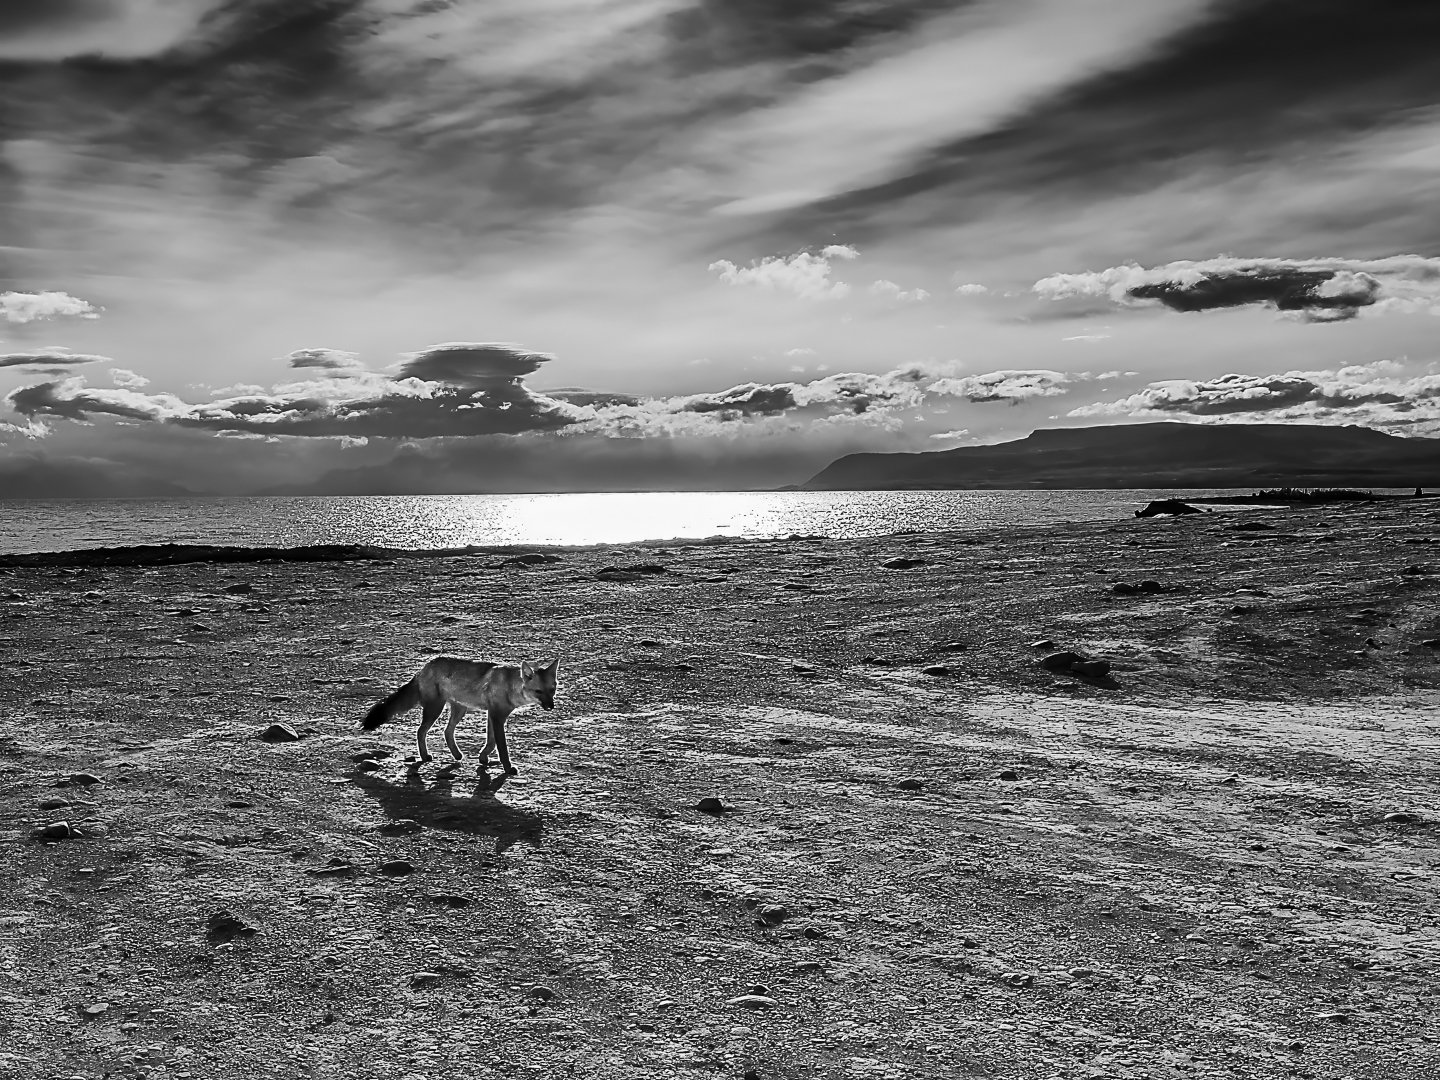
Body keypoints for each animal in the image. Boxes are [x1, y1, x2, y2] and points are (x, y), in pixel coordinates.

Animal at [361, 656, 559, 775]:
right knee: (420, 731)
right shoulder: (496, 716)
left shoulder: (492, 715)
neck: (511, 687)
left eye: (552, 690)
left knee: (447, 732)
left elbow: (491, 742)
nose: (551, 706)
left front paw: (483, 758)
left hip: (459, 710)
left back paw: (456, 755)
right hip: (435, 710)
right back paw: (425, 756)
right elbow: (501, 746)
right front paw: (508, 768)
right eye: (538, 691)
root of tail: (423, 668)